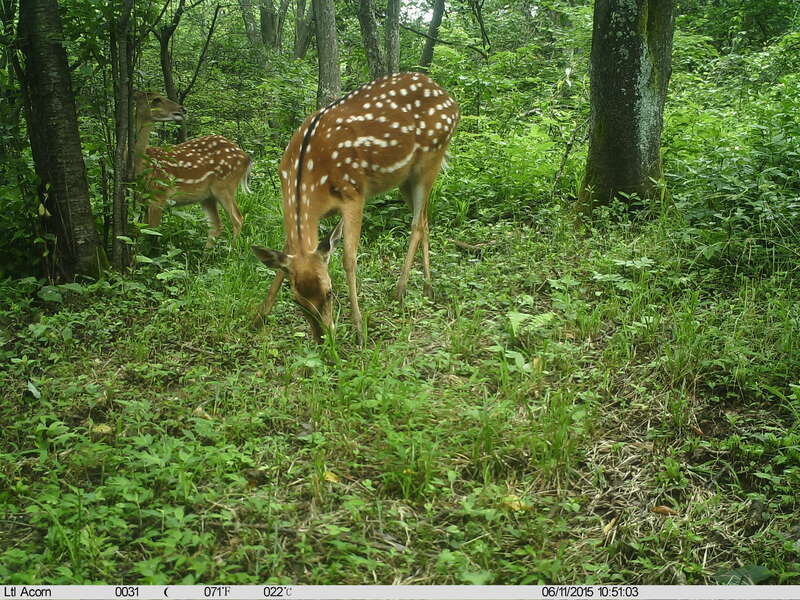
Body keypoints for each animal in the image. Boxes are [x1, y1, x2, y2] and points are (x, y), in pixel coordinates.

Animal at [133, 90, 250, 245]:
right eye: (157, 99)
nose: (181, 109)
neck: (142, 164)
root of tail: (246, 157)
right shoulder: (143, 201)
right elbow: (143, 232)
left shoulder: (159, 195)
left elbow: (152, 235)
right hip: (207, 196)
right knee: (216, 226)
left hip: (225, 185)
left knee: (237, 219)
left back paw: (233, 250)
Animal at [253, 71, 460, 342]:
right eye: (297, 300)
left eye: (330, 292)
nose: (323, 338)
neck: (307, 180)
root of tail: (450, 99)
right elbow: (284, 255)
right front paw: (259, 316)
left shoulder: (354, 194)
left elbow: (349, 259)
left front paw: (360, 330)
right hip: (405, 177)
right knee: (424, 219)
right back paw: (427, 287)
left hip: (431, 157)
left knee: (416, 224)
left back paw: (400, 290)